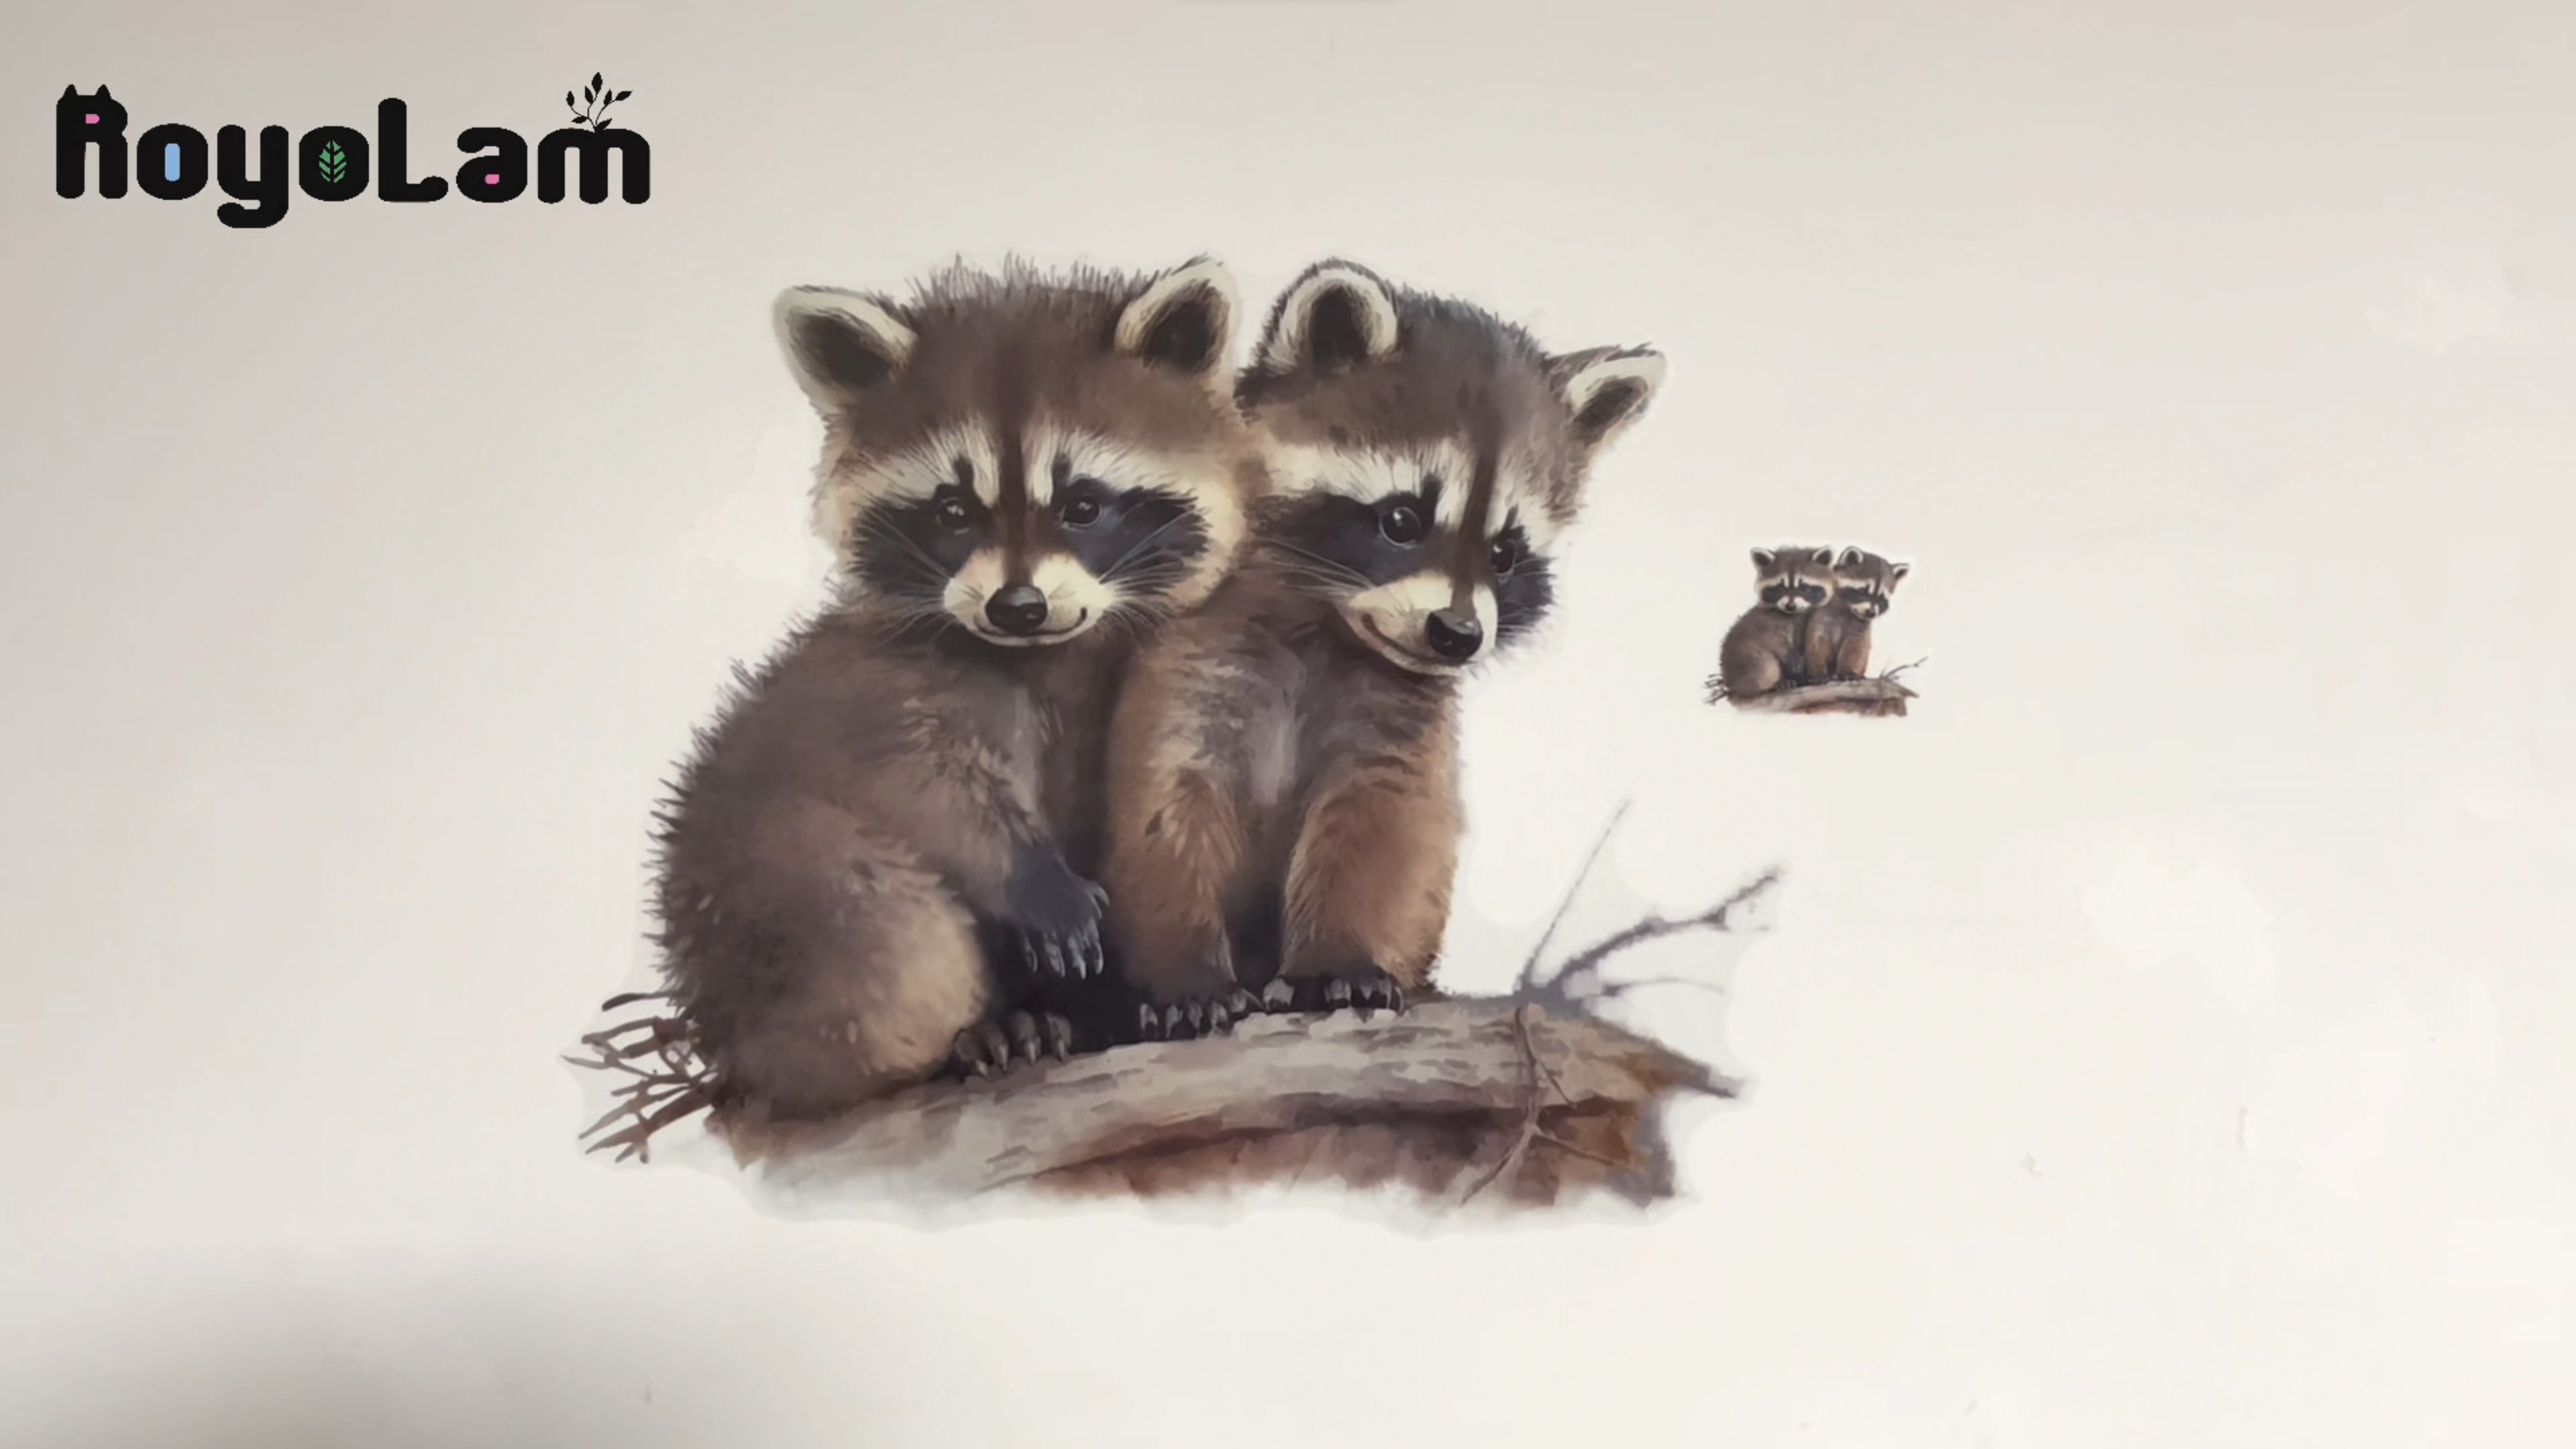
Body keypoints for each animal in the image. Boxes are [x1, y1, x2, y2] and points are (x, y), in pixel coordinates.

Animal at [647, 255, 1264, 1122]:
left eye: (1083, 505)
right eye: (952, 511)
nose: (1018, 606)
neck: (1047, 651)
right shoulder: (875, 693)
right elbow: (923, 786)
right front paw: (1025, 873)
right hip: (757, 907)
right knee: (878, 932)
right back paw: (952, 1041)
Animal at [1100, 258, 1665, 1039]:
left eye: (1505, 554)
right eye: (1402, 519)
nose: (1457, 635)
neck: (1324, 628)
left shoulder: (1401, 724)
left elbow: (1384, 830)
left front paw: (1337, 958)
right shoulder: (1190, 664)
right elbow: (1163, 810)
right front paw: (1185, 970)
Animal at [1716, 545, 1837, 699]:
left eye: (1804, 587)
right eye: (1780, 587)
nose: (1790, 606)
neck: (1794, 614)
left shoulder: (1810, 619)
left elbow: (1812, 644)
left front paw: (1816, 673)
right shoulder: (1767, 623)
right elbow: (1774, 640)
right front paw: (1790, 655)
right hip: (1744, 660)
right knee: (1765, 669)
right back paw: (1774, 684)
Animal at [1799, 545, 1911, 683]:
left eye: (1881, 598)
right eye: (1862, 591)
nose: (1871, 613)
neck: (1847, 610)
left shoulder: (1860, 627)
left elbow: (1855, 648)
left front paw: (1847, 671)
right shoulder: (1822, 616)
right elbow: (1817, 644)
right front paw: (1818, 672)